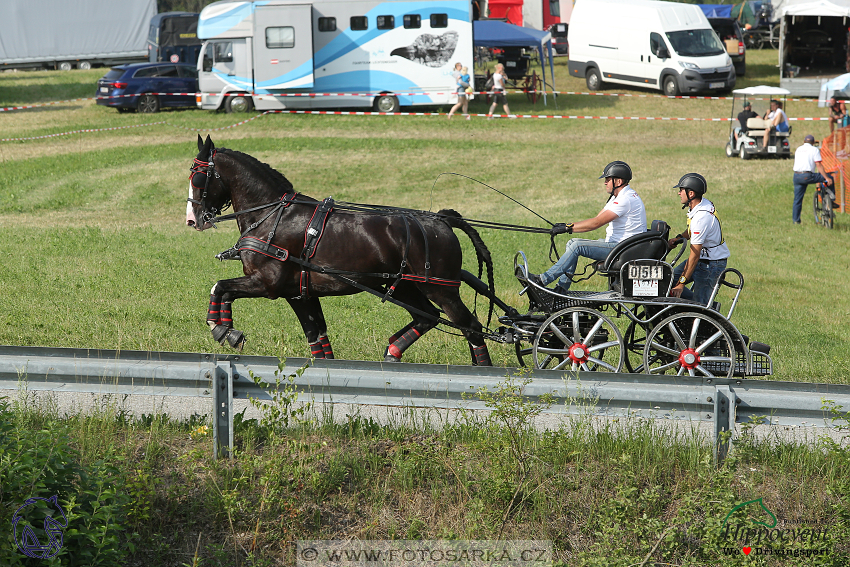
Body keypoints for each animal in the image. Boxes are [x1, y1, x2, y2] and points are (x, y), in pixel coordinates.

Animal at [182, 135, 494, 366]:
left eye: (197, 177)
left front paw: (223, 329)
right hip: (403, 286)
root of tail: (441, 219)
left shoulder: (267, 284)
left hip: (440, 288)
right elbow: (317, 337)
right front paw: (226, 328)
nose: (193, 220)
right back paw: (393, 351)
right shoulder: (299, 293)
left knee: (470, 326)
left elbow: (220, 287)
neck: (272, 215)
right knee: (427, 317)